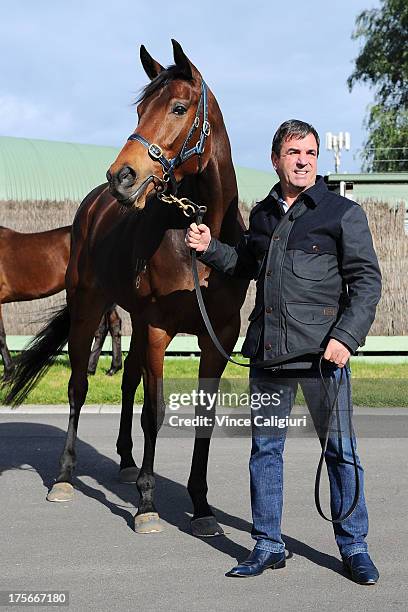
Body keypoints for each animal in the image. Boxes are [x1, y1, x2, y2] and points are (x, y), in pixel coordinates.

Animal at [0, 225, 122, 378]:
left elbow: (1, 336)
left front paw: (8, 373)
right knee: (114, 324)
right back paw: (113, 368)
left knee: (101, 329)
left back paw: (90, 368)